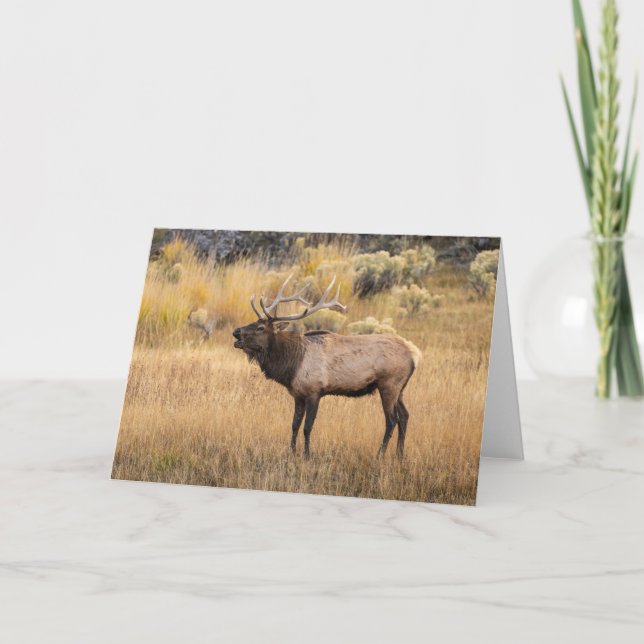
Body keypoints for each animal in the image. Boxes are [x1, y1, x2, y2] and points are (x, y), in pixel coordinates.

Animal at [232, 274, 421, 459]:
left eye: (260, 327)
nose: (235, 331)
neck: (292, 365)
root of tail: (414, 354)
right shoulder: (298, 394)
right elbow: (294, 425)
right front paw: (291, 452)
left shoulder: (314, 391)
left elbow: (307, 426)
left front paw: (307, 455)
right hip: (399, 388)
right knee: (405, 416)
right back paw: (400, 455)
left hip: (389, 384)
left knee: (392, 420)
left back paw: (380, 455)